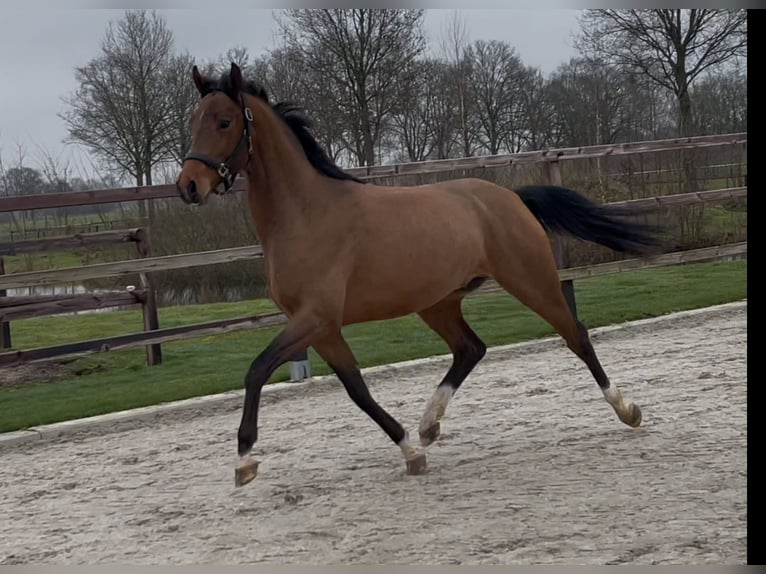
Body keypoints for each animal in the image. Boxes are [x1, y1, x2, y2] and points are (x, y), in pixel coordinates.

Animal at [177, 62, 664, 486]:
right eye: (193, 121)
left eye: (224, 122)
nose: (188, 187)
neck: (306, 215)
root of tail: (511, 197)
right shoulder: (323, 327)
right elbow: (357, 389)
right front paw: (411, 450)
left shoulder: (314, 317)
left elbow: (257, 370)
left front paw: (244, 461)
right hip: (438, 302)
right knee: (471, 348)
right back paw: (429, 425)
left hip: (531, 280)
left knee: (575, 334)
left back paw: (628, 409)